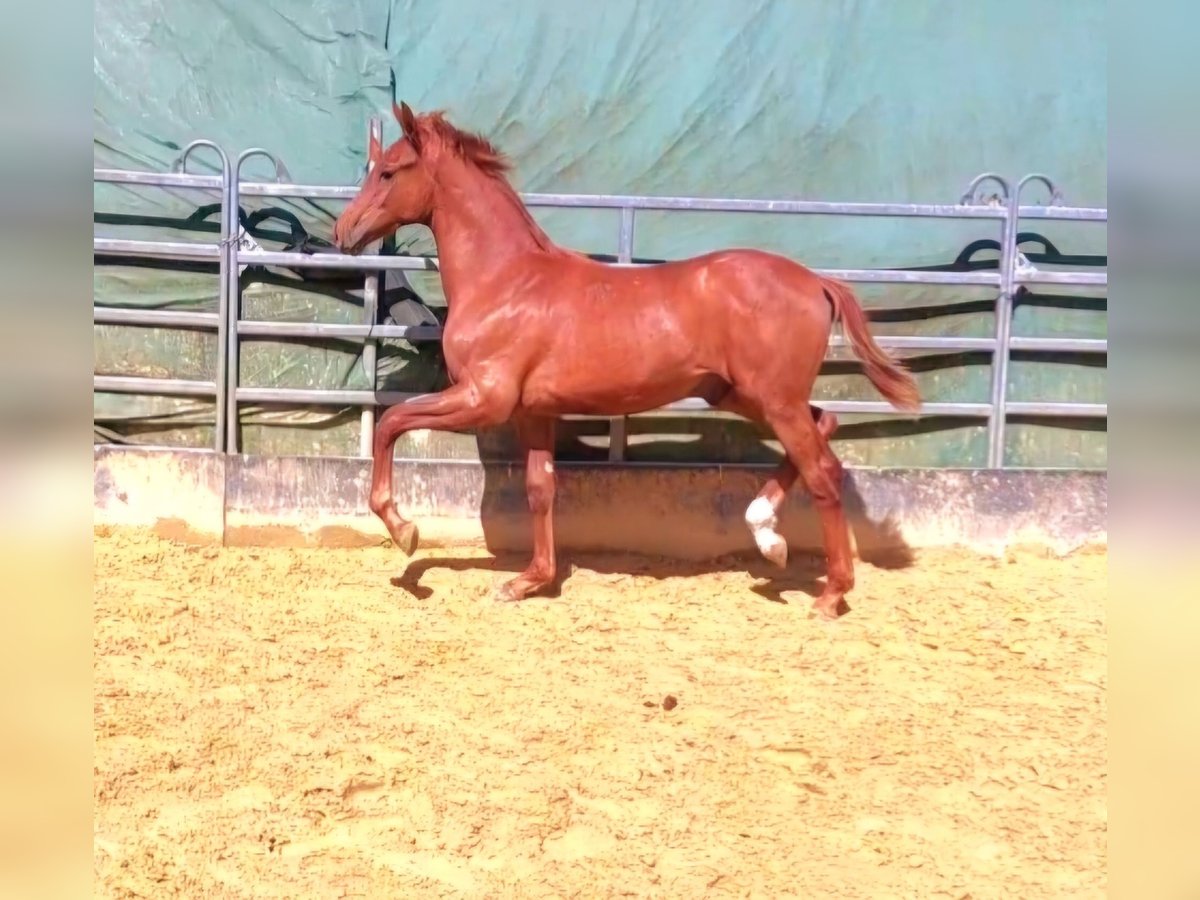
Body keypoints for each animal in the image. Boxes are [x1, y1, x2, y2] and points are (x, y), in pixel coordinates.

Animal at [331, 103, 916, 619]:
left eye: (388, 171)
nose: (344, 231)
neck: (506, 280)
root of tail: (815, 280)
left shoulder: (484, 399)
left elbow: (393, 421)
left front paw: (404, 532)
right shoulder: (533, 411)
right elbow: (540, 489)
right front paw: (529, 581)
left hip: (773, 400)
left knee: (824, 472)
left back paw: (829, 594)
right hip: (746, 395)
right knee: (825, 426)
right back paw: (767, 534)